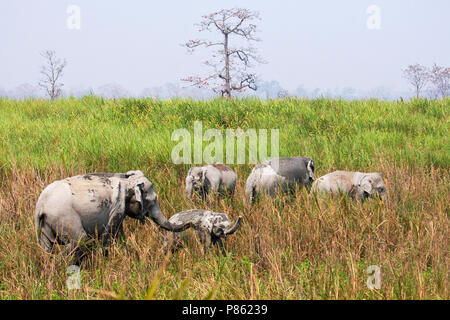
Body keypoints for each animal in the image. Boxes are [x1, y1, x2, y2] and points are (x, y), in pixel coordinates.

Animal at [34, 169, 190, 264]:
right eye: (152, 201)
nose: (189, 224)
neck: (127, 179)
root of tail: (41, 205)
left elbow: (120, 234)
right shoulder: (117, 206)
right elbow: (109, 235)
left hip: (45, 225)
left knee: (46, 246)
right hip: (65, 218)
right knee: (80, 239)